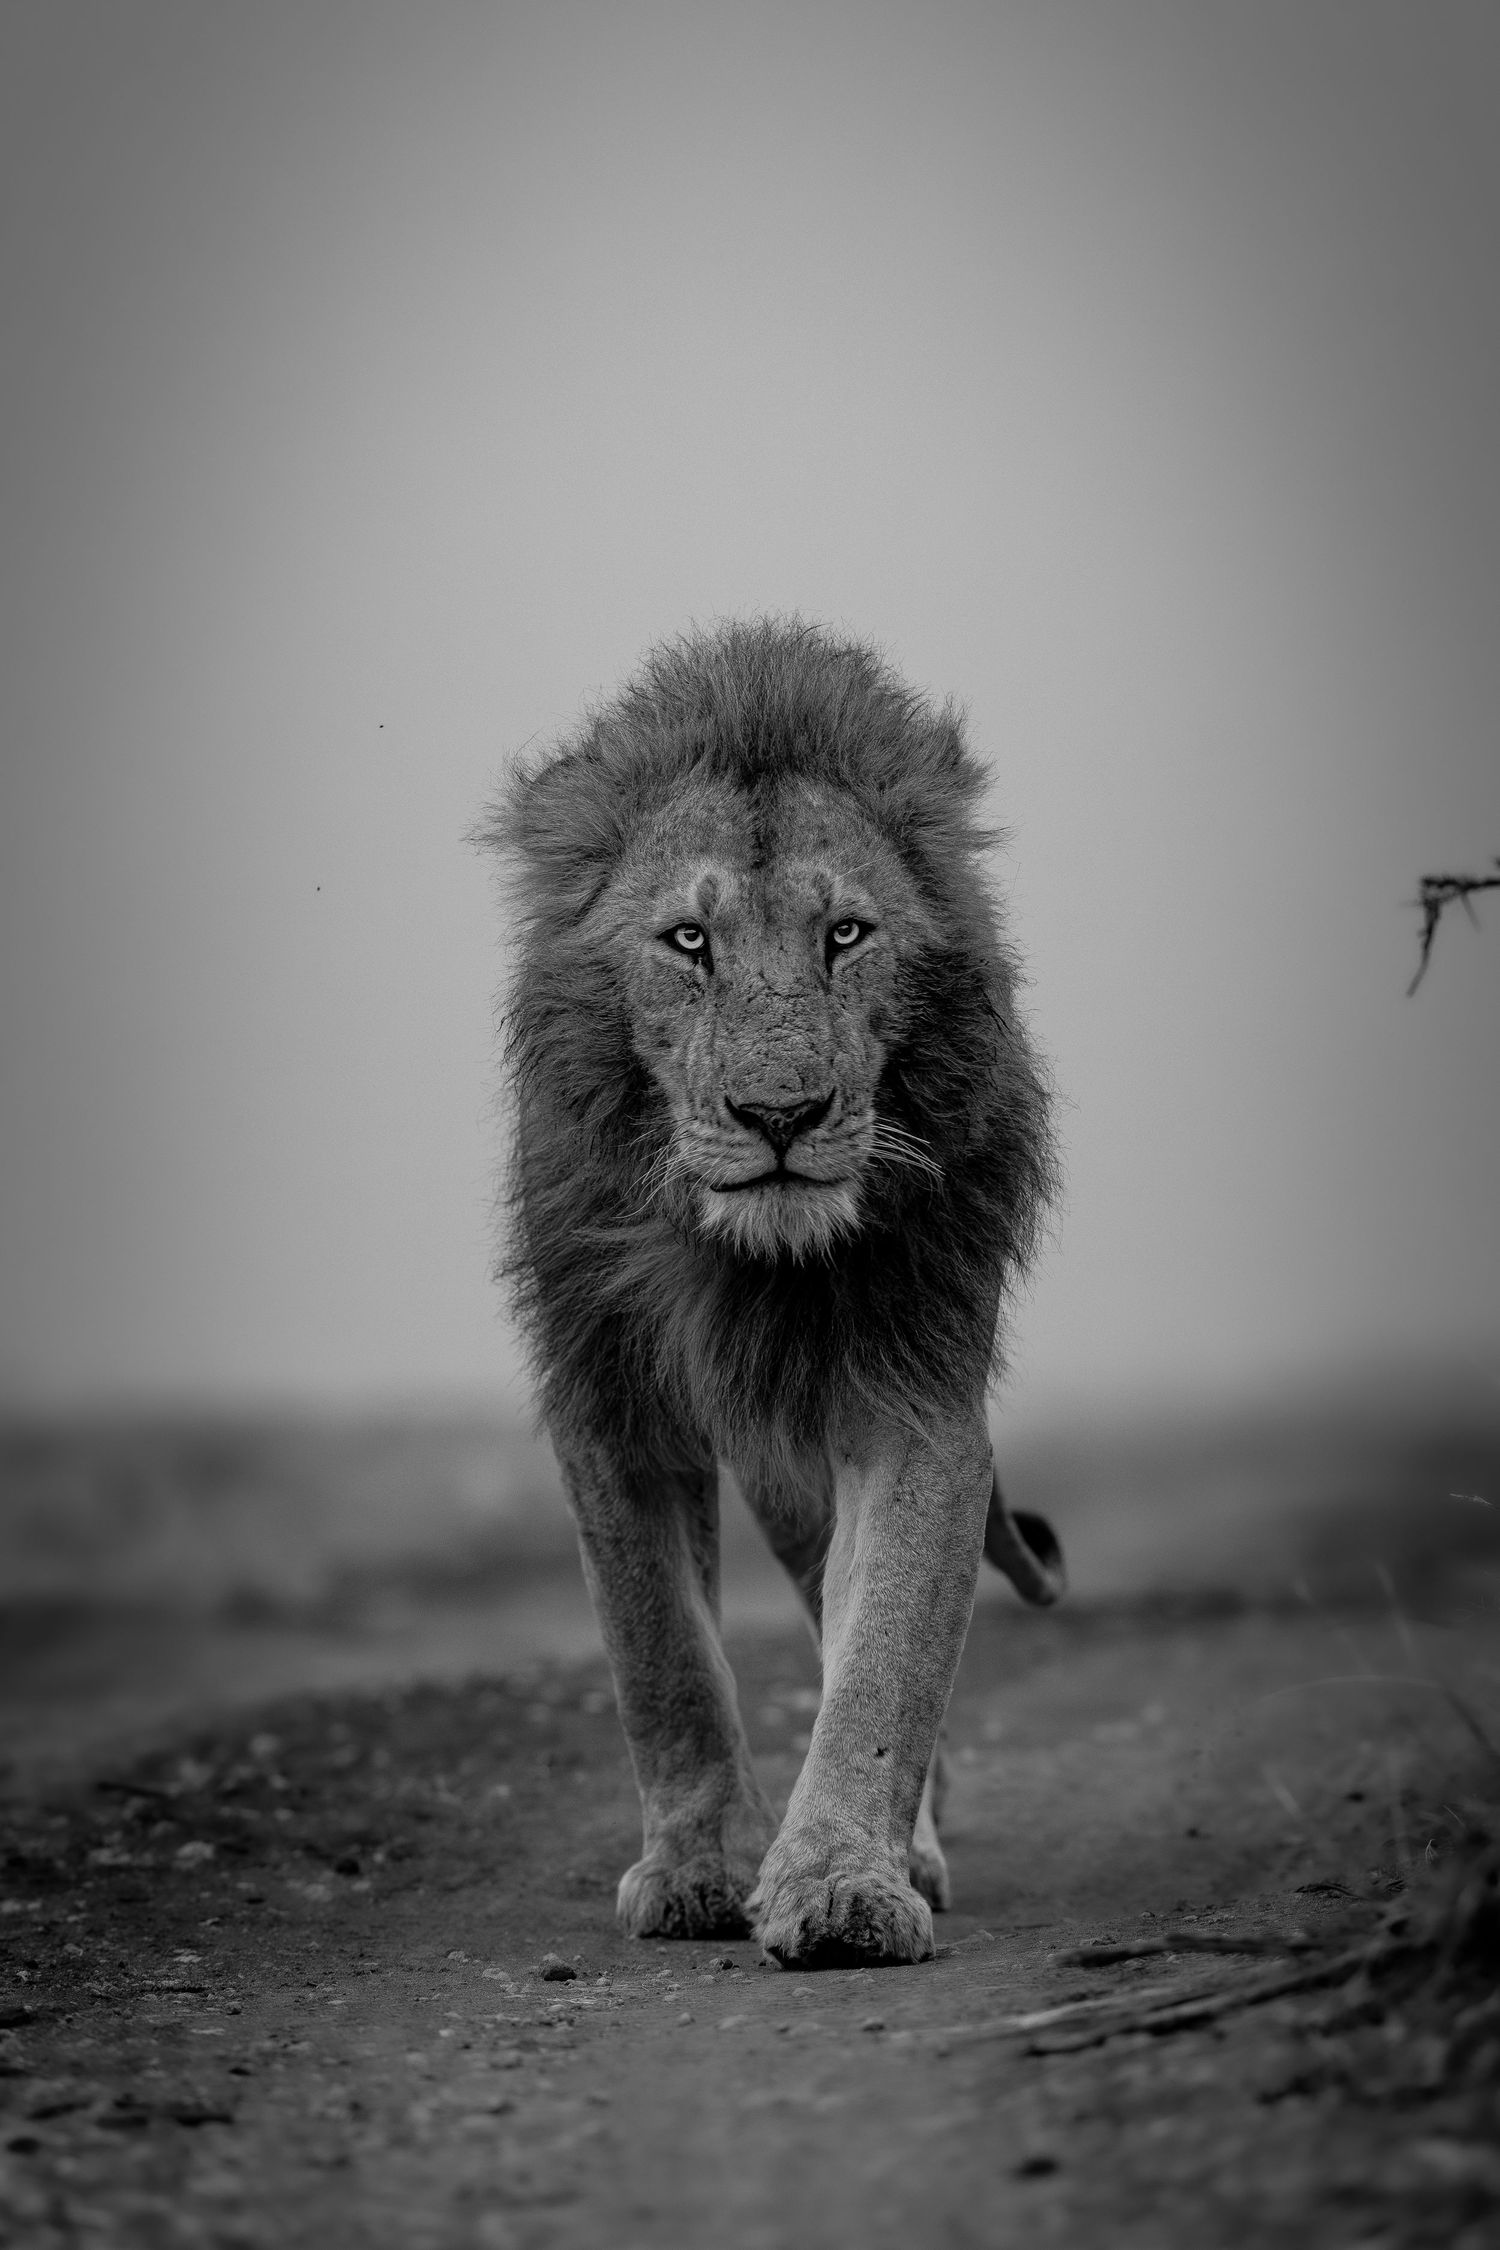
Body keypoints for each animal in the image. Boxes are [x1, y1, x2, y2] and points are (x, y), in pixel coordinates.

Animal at [478, 618, 1063, 1967]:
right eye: (688, 942)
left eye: (845, 934)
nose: (780, 1115)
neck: (745, 1258)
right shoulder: (609, 1401)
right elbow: (662, 1659)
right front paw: (704, 1866)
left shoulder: (914, 1395)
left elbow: (886, 1655)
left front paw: (843, 1882)